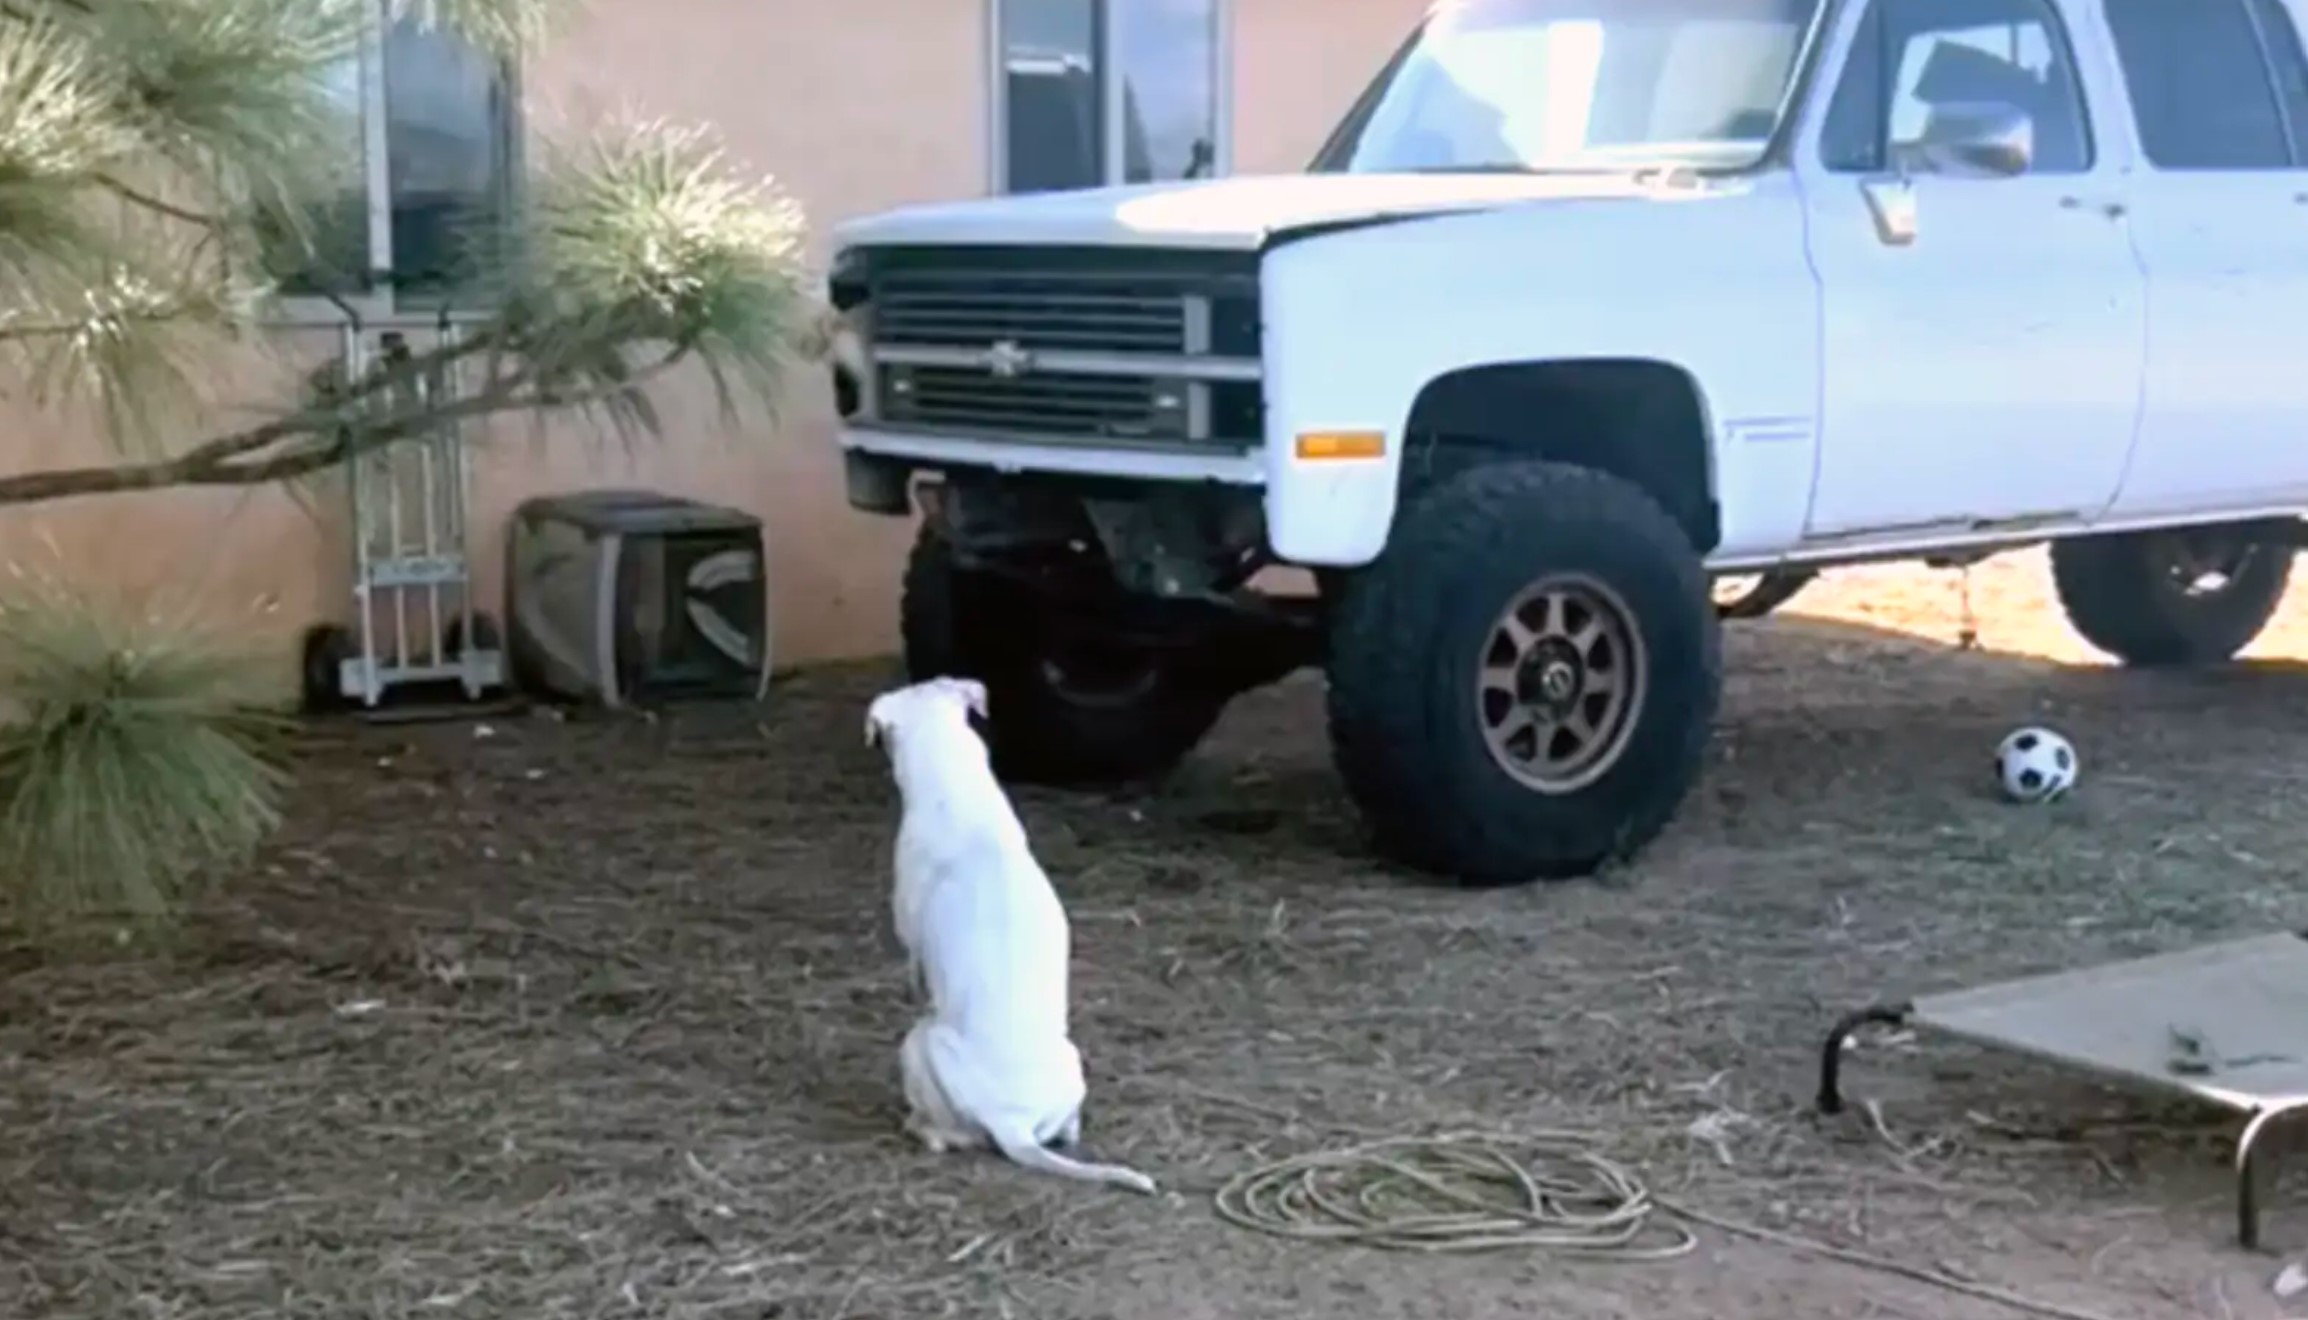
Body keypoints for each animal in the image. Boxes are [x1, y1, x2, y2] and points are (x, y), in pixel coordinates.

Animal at [867, 673, 1154, 1190]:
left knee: (944, 1135)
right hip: (1071, 1059)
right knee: (1066, 1127)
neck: (954, 786)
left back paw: (920, 1126)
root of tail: (1011, 1123)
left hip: (918, 1044)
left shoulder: (911, 941)